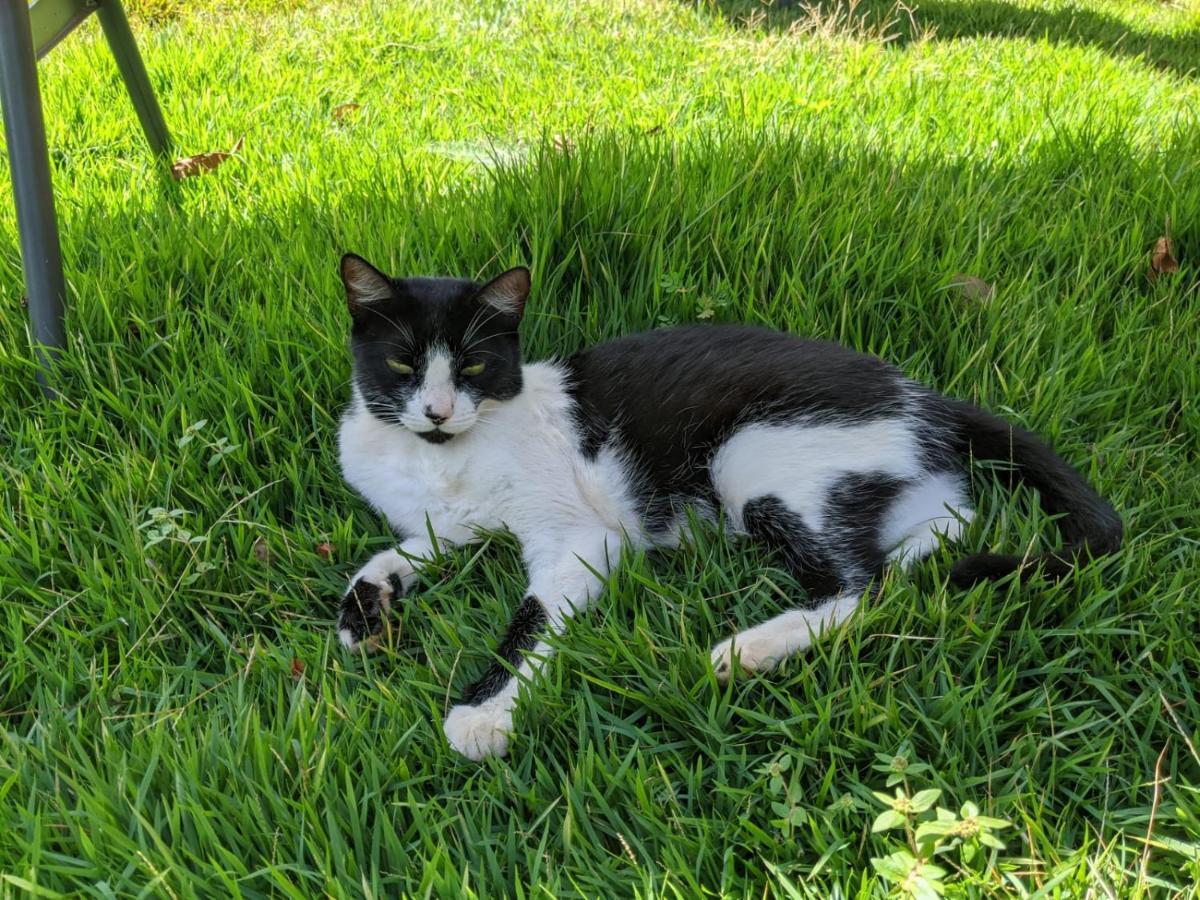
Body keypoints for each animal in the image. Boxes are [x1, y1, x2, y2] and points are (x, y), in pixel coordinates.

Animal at [336, 252, 1123, 763]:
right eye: (403, 363)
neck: (440, 460)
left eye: (473, 364)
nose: (437, 412)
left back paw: (747, 652)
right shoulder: (447, 524)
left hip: (752, 458)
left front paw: (483, 713)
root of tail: (929, 398)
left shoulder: (580, 539)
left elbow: (531, 619)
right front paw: (364, 611)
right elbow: (393, 552)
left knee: (868, 587)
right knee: (936, 533)